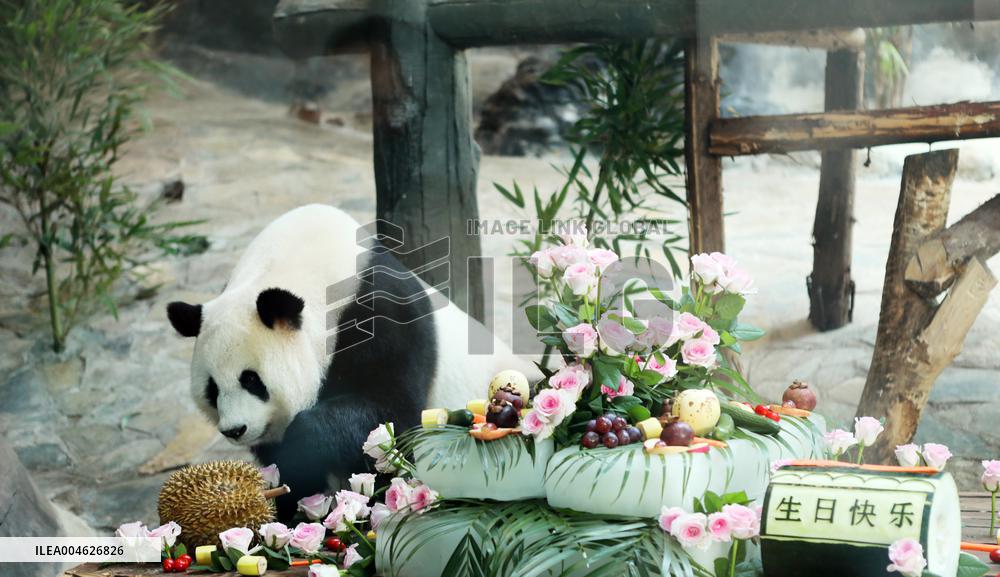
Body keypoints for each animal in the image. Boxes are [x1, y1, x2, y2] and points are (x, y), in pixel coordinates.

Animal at [166, 204, 539, 519]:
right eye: (212, 389)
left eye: (252, 380)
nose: (235, 429)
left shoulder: (388, 316)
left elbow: (391, 414)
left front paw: (305, 443)